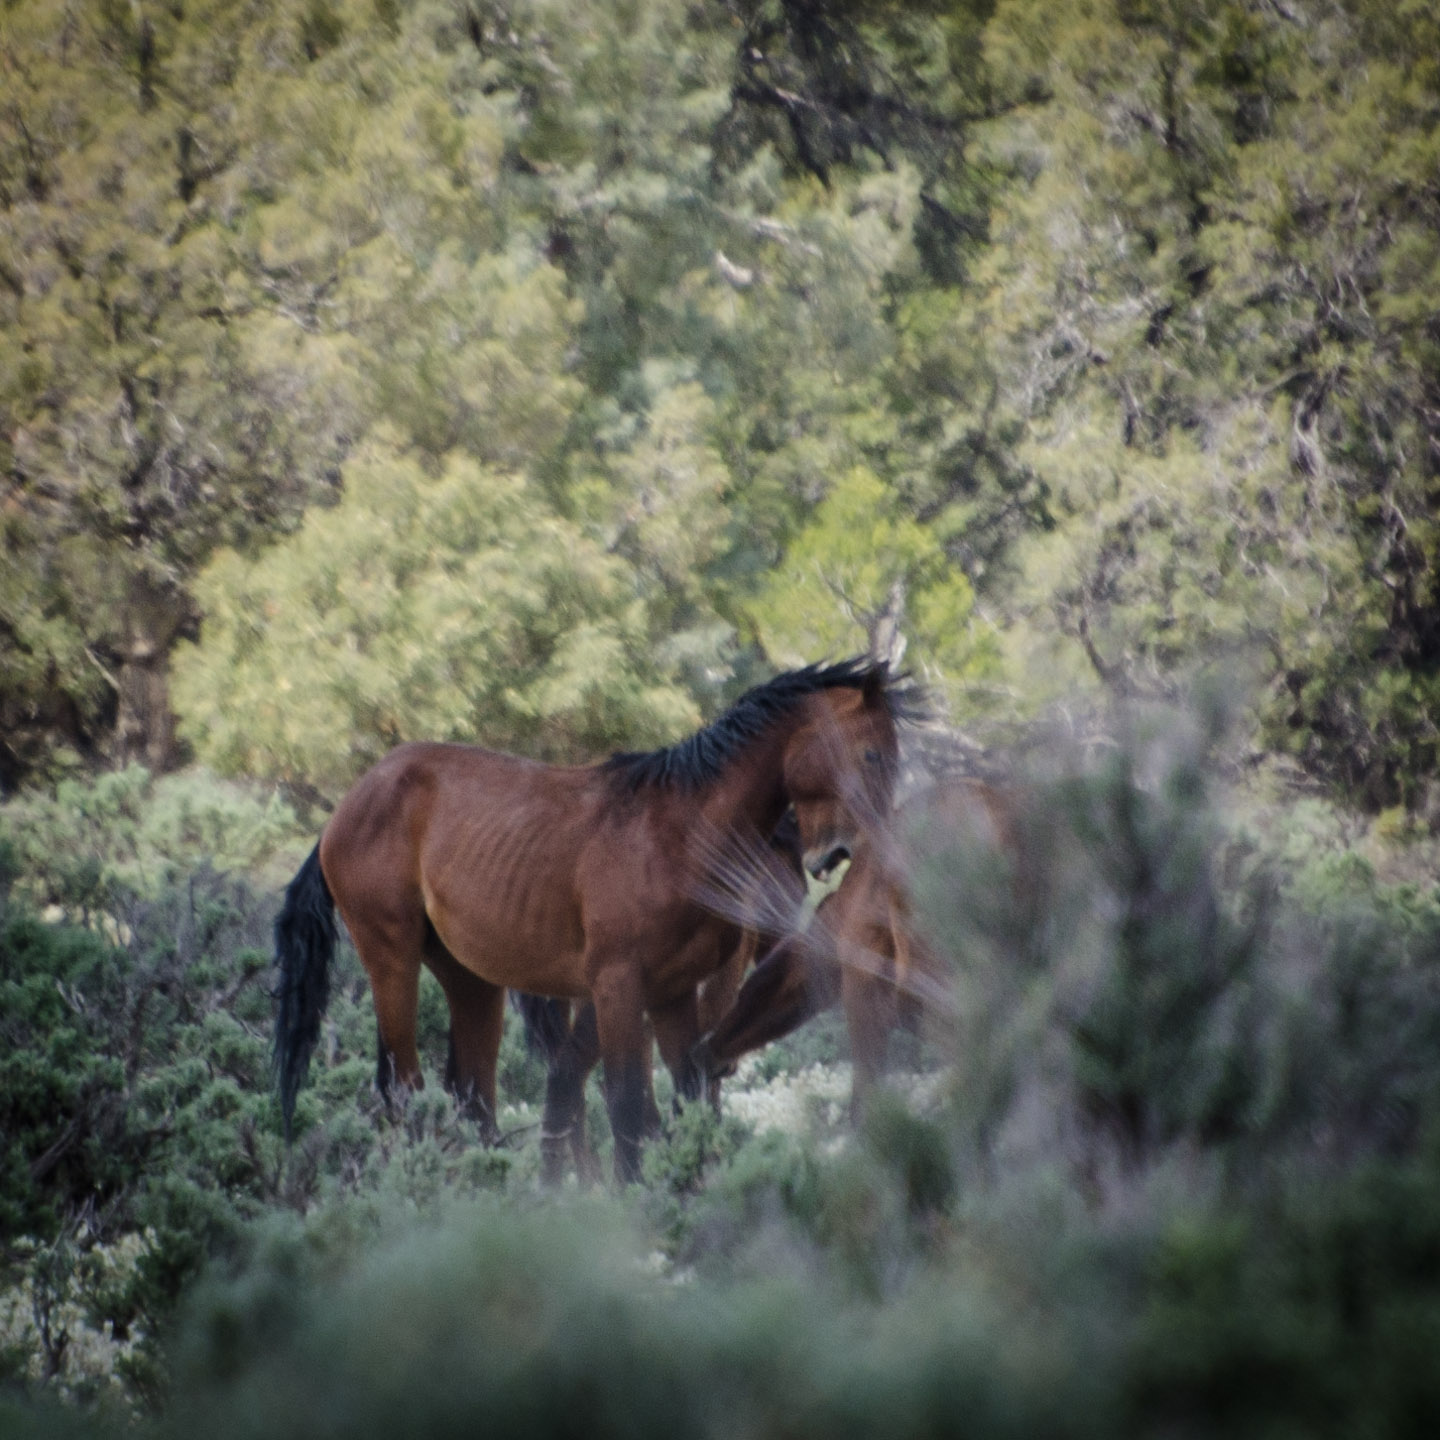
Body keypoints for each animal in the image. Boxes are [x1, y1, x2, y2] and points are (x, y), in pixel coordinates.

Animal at [272, 658, 911, 1181]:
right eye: (871, 754)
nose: (847, 854)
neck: (675, 834)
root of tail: (343, 811)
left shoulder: (673, 993)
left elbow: (685, 1096)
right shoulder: (617, 986)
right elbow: (627, 1103)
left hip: (471, 980)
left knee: (471, 1096)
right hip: (392, 961)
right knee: (404, 1089)